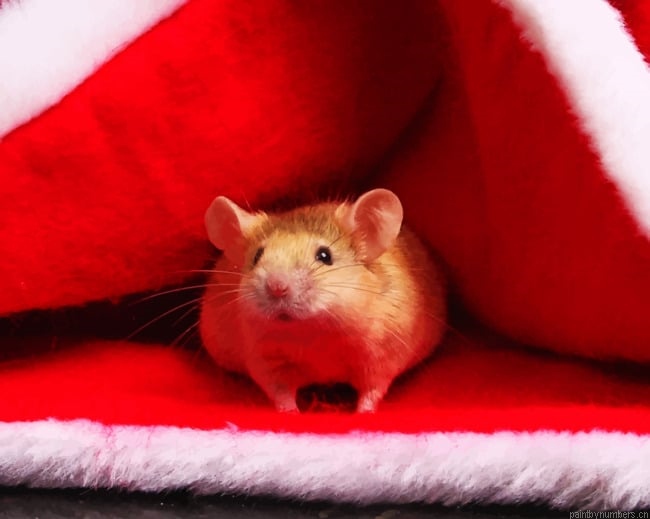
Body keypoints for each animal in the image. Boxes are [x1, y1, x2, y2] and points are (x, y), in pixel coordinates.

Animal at [199, 188, 447, 413]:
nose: (277, 287)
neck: (312, 333)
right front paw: (292, 413)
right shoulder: (265, 362)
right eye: (257, 256)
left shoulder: (381, 356)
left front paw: (362, 414)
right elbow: (281, 394)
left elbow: (372, 391)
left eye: (325, 256)